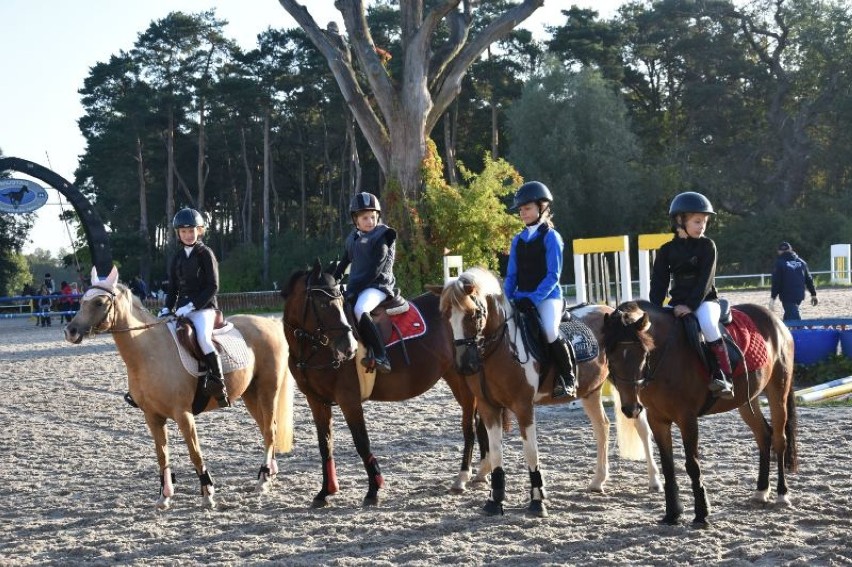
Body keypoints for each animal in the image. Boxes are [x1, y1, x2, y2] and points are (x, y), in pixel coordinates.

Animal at [65, 266, 294, 510]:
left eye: (99, 302)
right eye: (81, 301)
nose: (70, 331)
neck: (149, 352)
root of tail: (270, 323)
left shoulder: (183, 414)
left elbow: (195, 453)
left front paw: (208, 494)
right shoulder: (152, 417)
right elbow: (162, 455)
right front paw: (164, 496)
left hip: (268, 390)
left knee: (269, 431)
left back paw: (263, 480)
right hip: (250, 394)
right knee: (268, 429)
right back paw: (270, 473)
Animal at [280, 260, 480, 506]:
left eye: (339, 302)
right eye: (323, 304)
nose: (348, 348)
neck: (314, 348)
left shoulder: (349, 399)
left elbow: (361, 442)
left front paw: (374, 489)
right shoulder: (316, 401)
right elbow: (325, 444)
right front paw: (325, 491)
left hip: (465, 379)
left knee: (470, 426)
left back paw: (463, 477)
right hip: (455, 377)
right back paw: (482, 474)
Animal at [436, 268, 664, 516]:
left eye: (475, 314)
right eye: (446, 316)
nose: (465, 365)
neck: (501, 349)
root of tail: (613, 311)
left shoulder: (524, 407)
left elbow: (531, 452)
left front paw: (537, 501)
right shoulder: (488, 408)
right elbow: (496, 452)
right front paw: (495, 501)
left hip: (627, 385)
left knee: (641, 425)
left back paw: (654, 481)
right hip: (590, 391)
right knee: (602, 427)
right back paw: (598, 481)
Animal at [600, 302, 800, 528]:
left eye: (643, 355)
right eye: (611, 357)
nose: (631, 409)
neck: (665, 357)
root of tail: (776, 321)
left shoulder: (687, 419)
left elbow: (692, 465)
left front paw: (701, 514)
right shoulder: (657, 420)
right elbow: (668, 466)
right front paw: (672, 514)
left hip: (778, 391)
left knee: (779, 439)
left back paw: (782, 494)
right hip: (747, 400)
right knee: (763, 435)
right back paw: (761, 491)